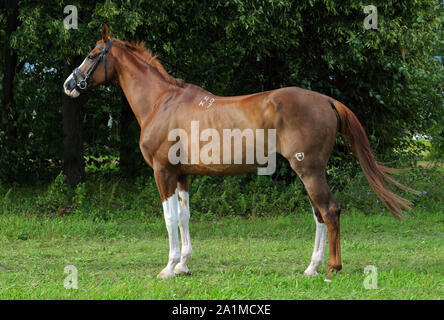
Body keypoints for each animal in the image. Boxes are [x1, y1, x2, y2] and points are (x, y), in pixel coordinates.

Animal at [63, 25, 416, 280]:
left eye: (92, 55)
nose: (69, 84)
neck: (161, 101)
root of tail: (327, 100)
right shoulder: (182, 175)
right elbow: (185, 217)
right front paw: (184, 265)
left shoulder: (162, 172)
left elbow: (169, 218)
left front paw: (169, 268)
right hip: (309, 173)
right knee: (319, 214)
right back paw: (312, 268)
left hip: (309, 171)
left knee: (329, 211)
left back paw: (331, 269)